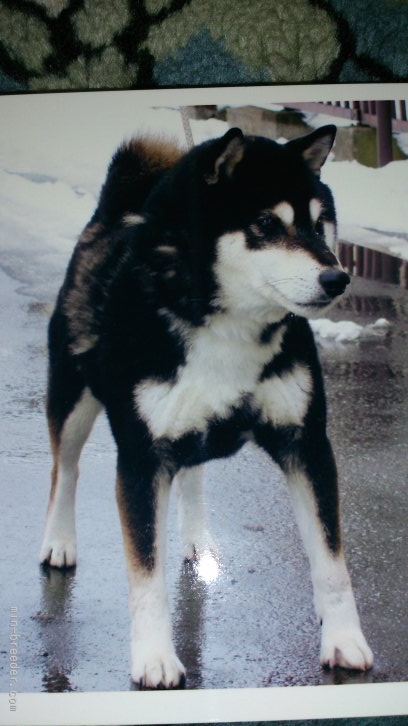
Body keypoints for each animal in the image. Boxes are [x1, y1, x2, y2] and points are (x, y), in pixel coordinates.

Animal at [39, 125, 372, 688]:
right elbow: (145, 571)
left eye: (318, 223)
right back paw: (59, 541)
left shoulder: (307, 444)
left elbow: (332, 564)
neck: (228, 330)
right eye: (266, 223)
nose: (337, 279)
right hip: (74, 396)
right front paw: (154, 657)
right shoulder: (142, 458)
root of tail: (112, 210)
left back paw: (196, 538)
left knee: (191, 471)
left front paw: (345, 641)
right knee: (66, 469)